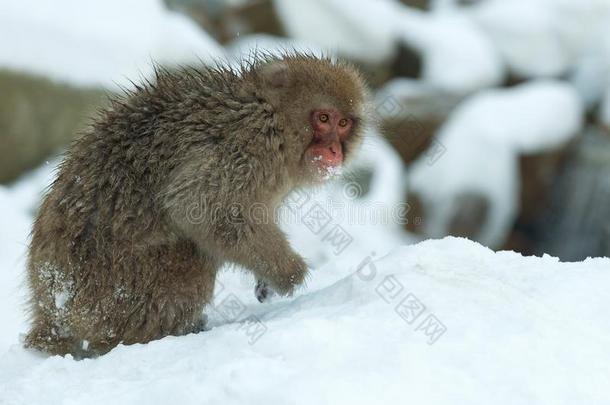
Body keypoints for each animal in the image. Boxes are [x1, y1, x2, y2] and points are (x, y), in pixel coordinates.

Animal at [23, 54, 368, 356]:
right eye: (323, 118)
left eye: (344, 123)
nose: (334, 151)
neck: (274, 118)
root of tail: (51, 311)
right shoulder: (246, 145)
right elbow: (201, 208)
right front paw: (290, 274)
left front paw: (266, 279)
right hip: (111, 293)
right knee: (192, 262)